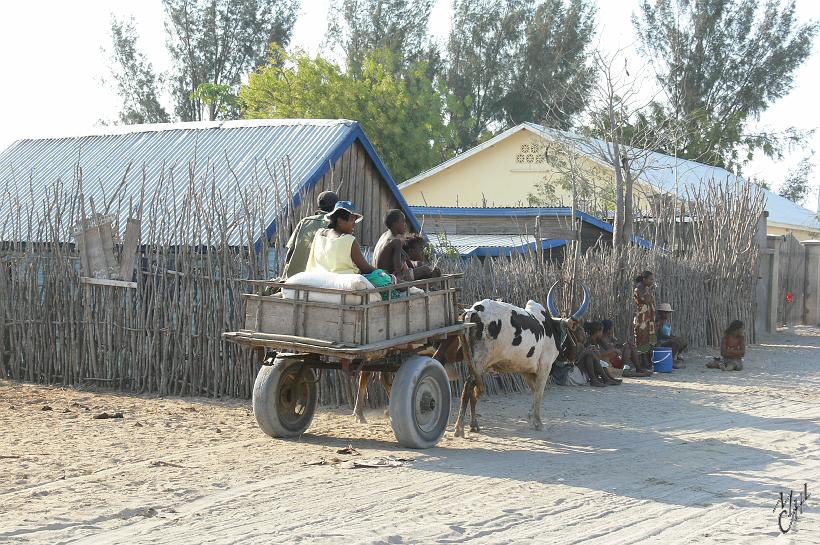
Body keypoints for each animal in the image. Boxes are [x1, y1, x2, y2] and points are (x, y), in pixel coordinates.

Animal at [448, 282, 588, 436]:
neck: (550, 327)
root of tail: (473, 311)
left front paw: (531, 418)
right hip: (480, 361)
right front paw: (539, 423)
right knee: (468, 387)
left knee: (473, 389)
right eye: (576, 330)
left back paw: (474, 425)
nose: (574, 355)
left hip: (474, 363)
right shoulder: (544, 367)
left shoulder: (525, 370)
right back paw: (459, 428)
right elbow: (539, 393)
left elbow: (534, 391)